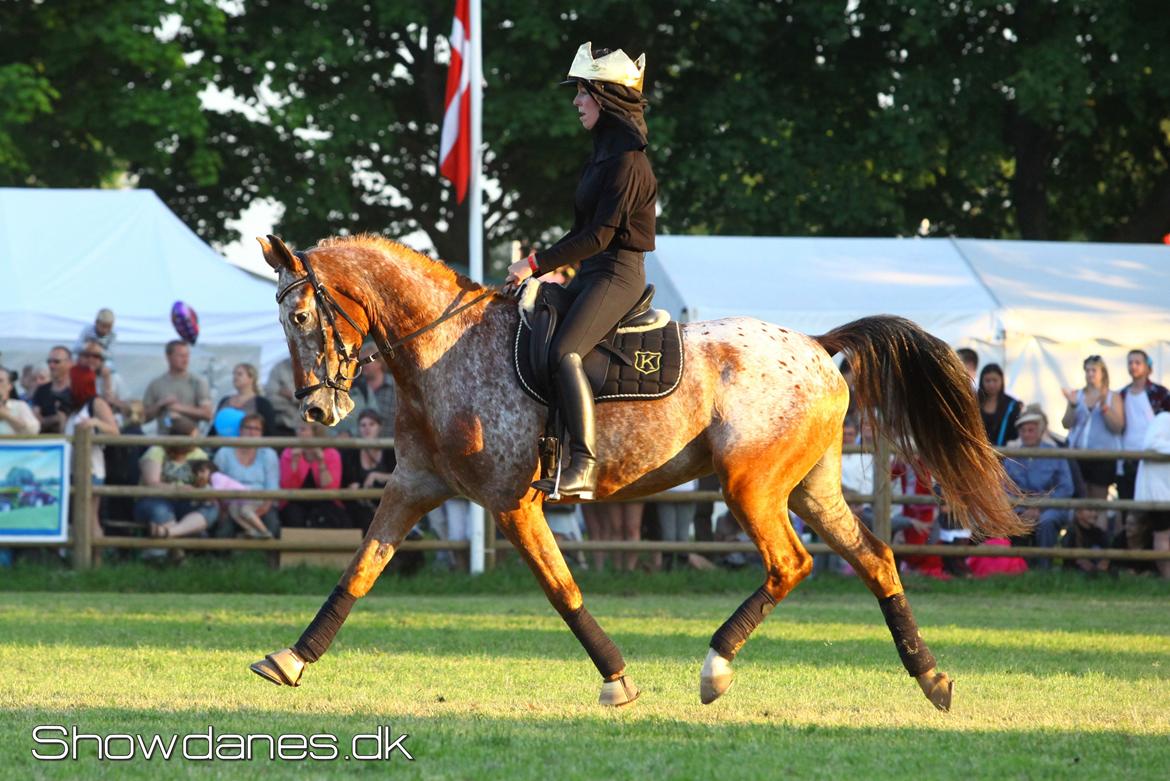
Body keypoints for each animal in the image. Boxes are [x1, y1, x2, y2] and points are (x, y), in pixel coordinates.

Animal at [249, 230, 1024, 706]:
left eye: (302, 318)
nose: (317, 409)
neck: (444, 346)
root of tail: (813, 342)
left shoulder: (511, 503)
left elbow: (562, 589)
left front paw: (617, 678)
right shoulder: (414, 487)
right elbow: (358, 573)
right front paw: (290, 658)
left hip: (750, 487)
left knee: (791, 563)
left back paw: (716, 666)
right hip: (810, 488)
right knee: (876, 558)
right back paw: (930, 676)